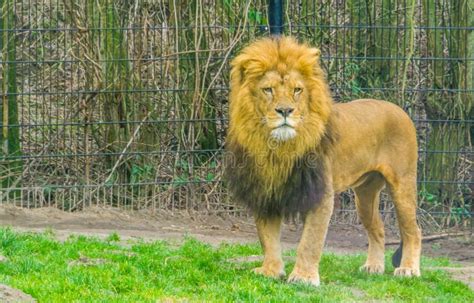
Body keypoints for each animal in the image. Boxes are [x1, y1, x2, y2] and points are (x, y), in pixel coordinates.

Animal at [226, 36, 422, 288]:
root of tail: (398, 108)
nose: (285, 111)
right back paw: (373, 267)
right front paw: (271, 271)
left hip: (403, 184)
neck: (279, 148)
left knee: (412, 230)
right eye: (268, 90)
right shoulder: (266, 191)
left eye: (297, 90)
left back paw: (408, 269)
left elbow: (310, 241)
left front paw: (303, 277)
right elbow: (267, 238)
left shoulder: (320, 194)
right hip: (365, 193)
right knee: (377, 229)